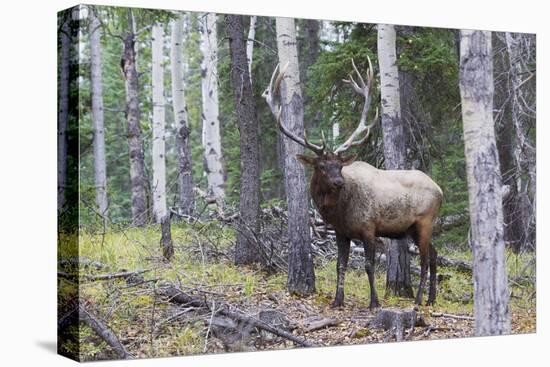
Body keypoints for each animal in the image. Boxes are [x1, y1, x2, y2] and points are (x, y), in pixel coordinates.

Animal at [264, 58, 444, 310]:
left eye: (340, 165)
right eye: (321, 166)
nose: (338, 182)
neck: (338, 211)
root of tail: (440, 189)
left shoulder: (369, 228)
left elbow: (369, 265)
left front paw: (374, 302)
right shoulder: (341, 233)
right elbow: (341, 265)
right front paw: (336, 300)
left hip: (425, 221)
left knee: (426, 260)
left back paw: (419, 299)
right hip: (412, 229)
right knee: (435, 255)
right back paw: (431, 299)